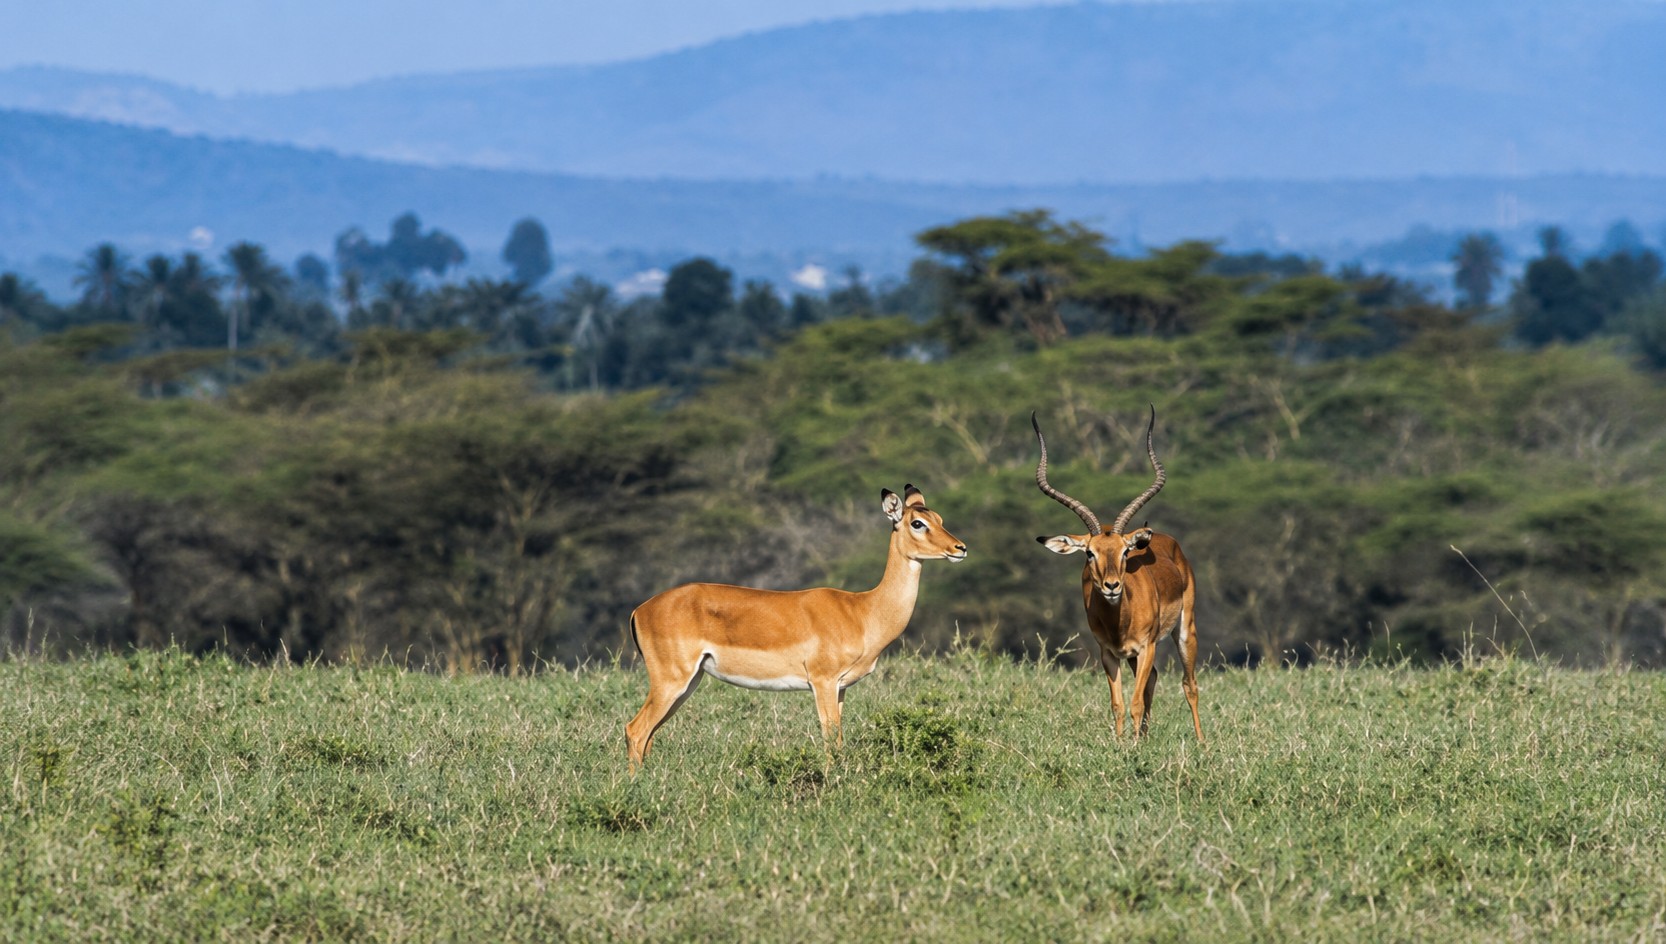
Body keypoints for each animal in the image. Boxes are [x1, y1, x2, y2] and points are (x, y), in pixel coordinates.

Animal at [625, 485, 967, 769]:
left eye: (938, 517)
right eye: (917, 523)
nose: (959, 548)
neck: (863, 611)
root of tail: (640, 610)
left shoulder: (840, 688)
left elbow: (838, 740)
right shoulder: (823, 681)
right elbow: (830, 740)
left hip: (689, 682)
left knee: (648, 735)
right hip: (671, 680)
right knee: (636, 730)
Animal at [1032, 408, 1203, 743]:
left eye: (1125, 552)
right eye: (1089, 553)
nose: (1112, 586)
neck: (1119, 621)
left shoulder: (1147, 646)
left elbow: (1135, 702)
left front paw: (1132, 746)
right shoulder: (1109, 654)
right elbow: (1118, 705)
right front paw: (1123, 743)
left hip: (1184, 631)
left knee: (1189, 685)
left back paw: (1202, 743)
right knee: (1152, 680)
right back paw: (1145, 737)